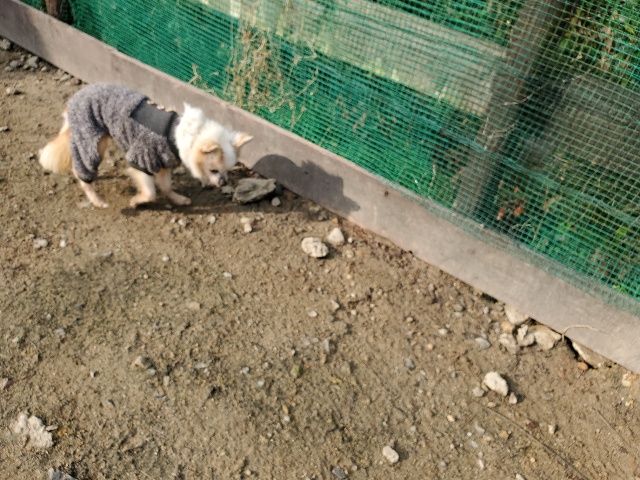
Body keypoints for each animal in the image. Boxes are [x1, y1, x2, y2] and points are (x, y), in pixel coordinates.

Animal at [39, 83, 253, 208]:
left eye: (228, 171)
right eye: (214, 170)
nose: (223, 183)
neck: (175, 134)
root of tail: (75, 98)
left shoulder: (165, 163)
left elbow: (165, 186)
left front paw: (177, 199)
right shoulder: (141, 161)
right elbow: (150, 193)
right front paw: (136, 201)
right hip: (92, 142)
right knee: (81, 171)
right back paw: (97, 200)